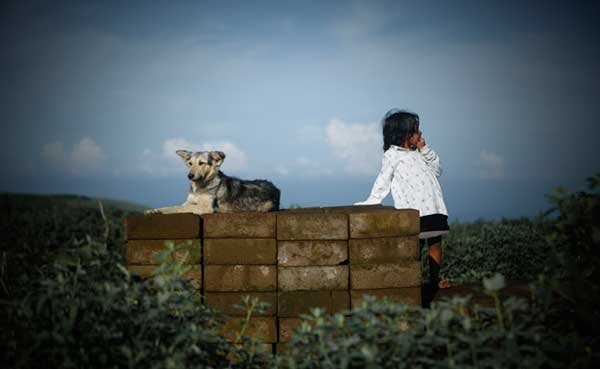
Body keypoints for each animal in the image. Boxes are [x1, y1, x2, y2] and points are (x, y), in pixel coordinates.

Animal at [146, 148, 280, 214]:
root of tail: (275, 188)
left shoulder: (205, 207)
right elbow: (172, 207)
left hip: (265, 206)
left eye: (201, 163)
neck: (199, 187)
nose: (190, 176)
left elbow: (180, 209)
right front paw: (154, 210)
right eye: (190, 163)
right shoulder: (189, 202)